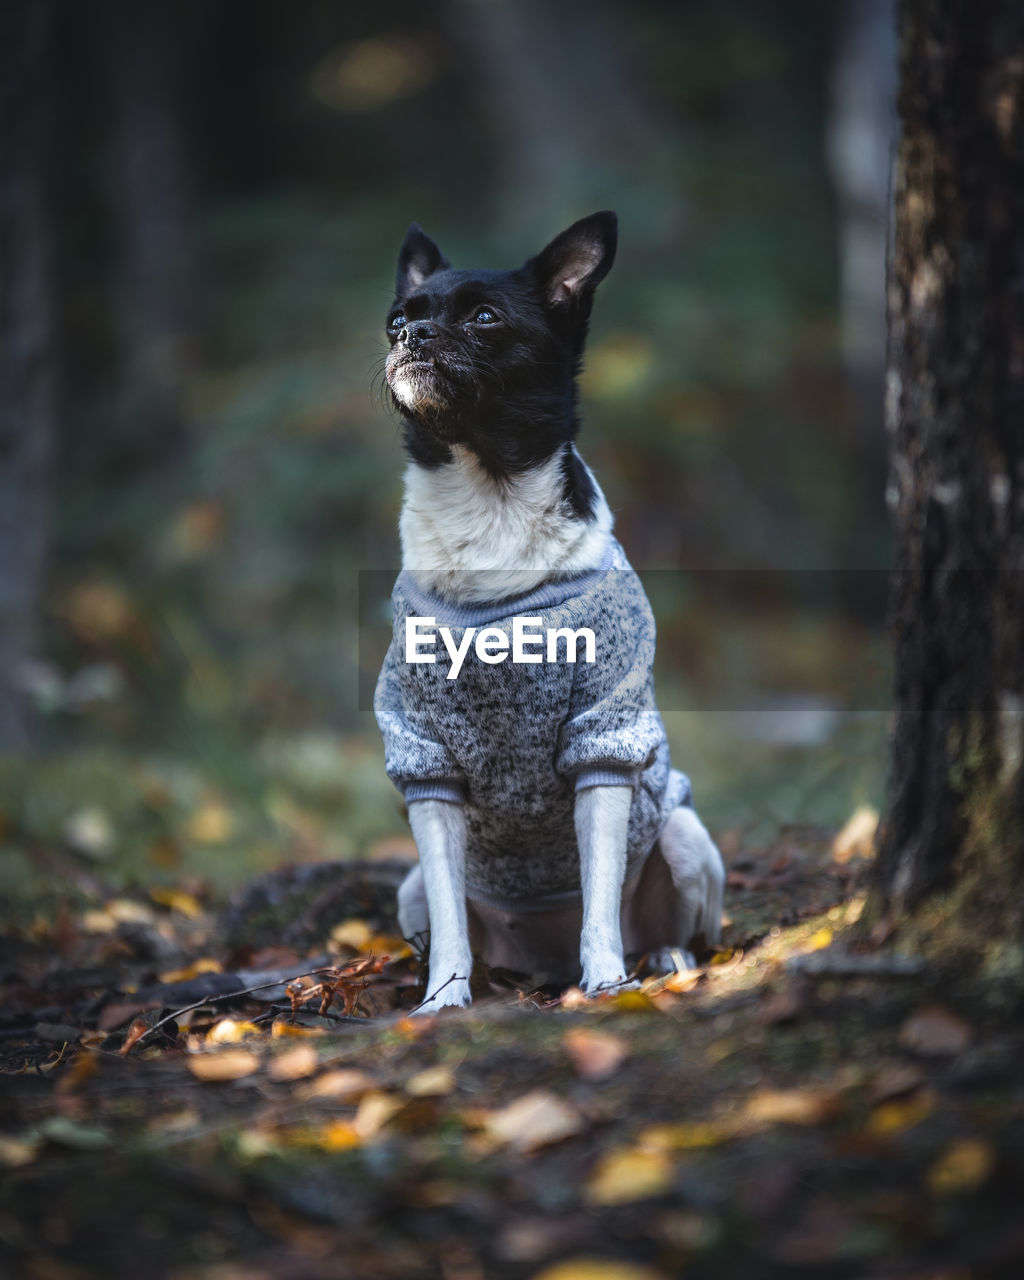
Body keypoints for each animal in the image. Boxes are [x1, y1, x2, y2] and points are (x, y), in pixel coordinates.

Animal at [376, 209, 727, 1008]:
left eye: (484, 317)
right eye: (396, 320)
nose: (411, 336)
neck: (490, 506)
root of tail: (542, 965)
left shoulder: (603, 738)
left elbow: (598, 894)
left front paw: (608, 984)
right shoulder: (425, 764)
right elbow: (449, 913)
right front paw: (443, 999)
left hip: (686, 837)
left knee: (671, 926)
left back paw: (659, 961)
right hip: (410, 890)